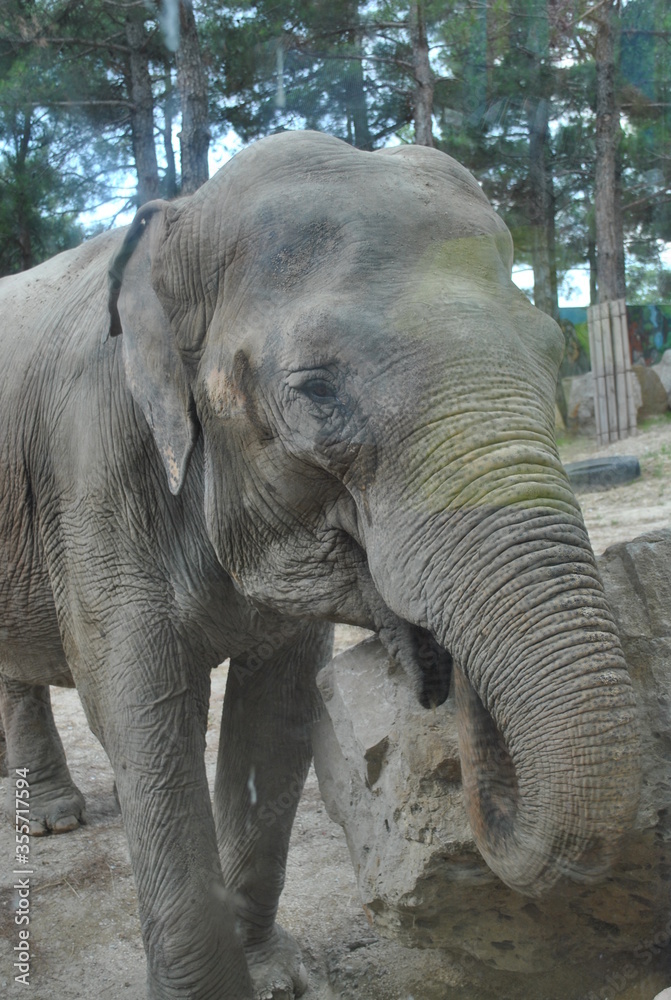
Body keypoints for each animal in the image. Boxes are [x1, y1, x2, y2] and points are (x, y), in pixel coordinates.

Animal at [0, 130, 640, 999]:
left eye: (554, 354)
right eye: (313, 391)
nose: (440, 677)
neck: (181, 216)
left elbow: (277, 709)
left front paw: (278, 980)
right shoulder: (93, 467)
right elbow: (143, 715)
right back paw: (50, 822)